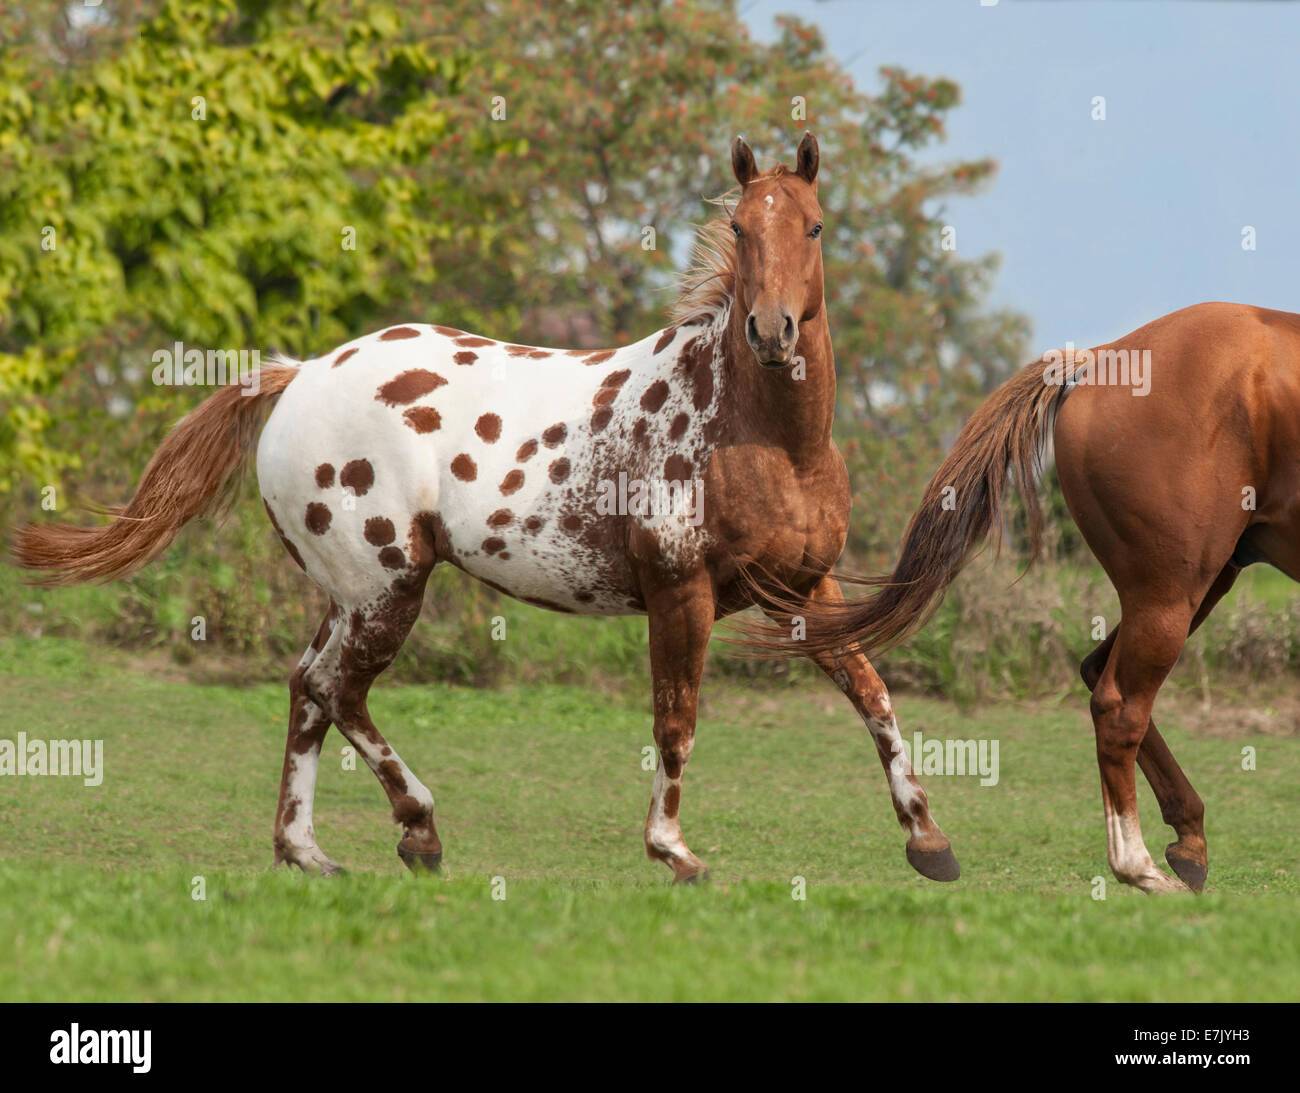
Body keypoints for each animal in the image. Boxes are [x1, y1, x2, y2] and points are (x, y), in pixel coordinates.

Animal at [12, 134, 967, 888]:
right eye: (740, 227)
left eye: (813, 226)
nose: (771, 332)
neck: (754, 430)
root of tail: (304, 371)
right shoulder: (679, 591)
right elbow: (677, 719)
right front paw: (675, 851)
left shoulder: (806, 591)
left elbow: (875, 697)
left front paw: (930, 841)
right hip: (387, 587)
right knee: (337, 688)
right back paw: (418, 830)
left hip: (348, 591)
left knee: (307, 687)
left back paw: (307, 850)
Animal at [790, 300, 1300, 894]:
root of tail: (1103, 355)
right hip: (1171, 592)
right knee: (1119, 705)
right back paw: (1142, 867)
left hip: (1196, 587)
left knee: (1098, 674)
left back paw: (1186, 842)